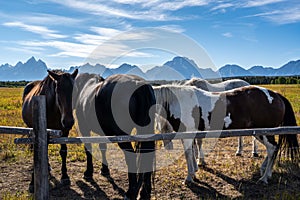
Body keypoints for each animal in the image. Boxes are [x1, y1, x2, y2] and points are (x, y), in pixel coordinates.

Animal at [155, 83, 300, 184]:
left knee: (271, 149)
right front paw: (194, 172)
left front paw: (189, 177)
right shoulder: (191, 135)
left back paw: (264, 178)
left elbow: (188, 154)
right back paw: (267, 172)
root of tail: (276, 95)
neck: (179, 102)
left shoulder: (187, 135)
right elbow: (192, 152)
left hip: (265, 133)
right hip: (259, 133)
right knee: (274, 148)